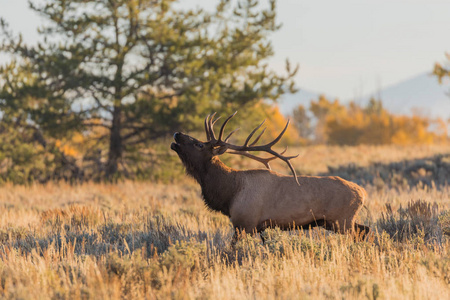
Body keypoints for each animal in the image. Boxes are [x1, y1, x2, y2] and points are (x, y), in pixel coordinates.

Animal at [171, 111, 370, 243]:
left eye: (199, 144)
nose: (177, 134)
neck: (229, 193)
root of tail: (362, 192)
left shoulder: (245, 222)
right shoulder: (256, 227)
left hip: (342, 220)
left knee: (361, 233)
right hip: (333, 222)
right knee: (366, 230)